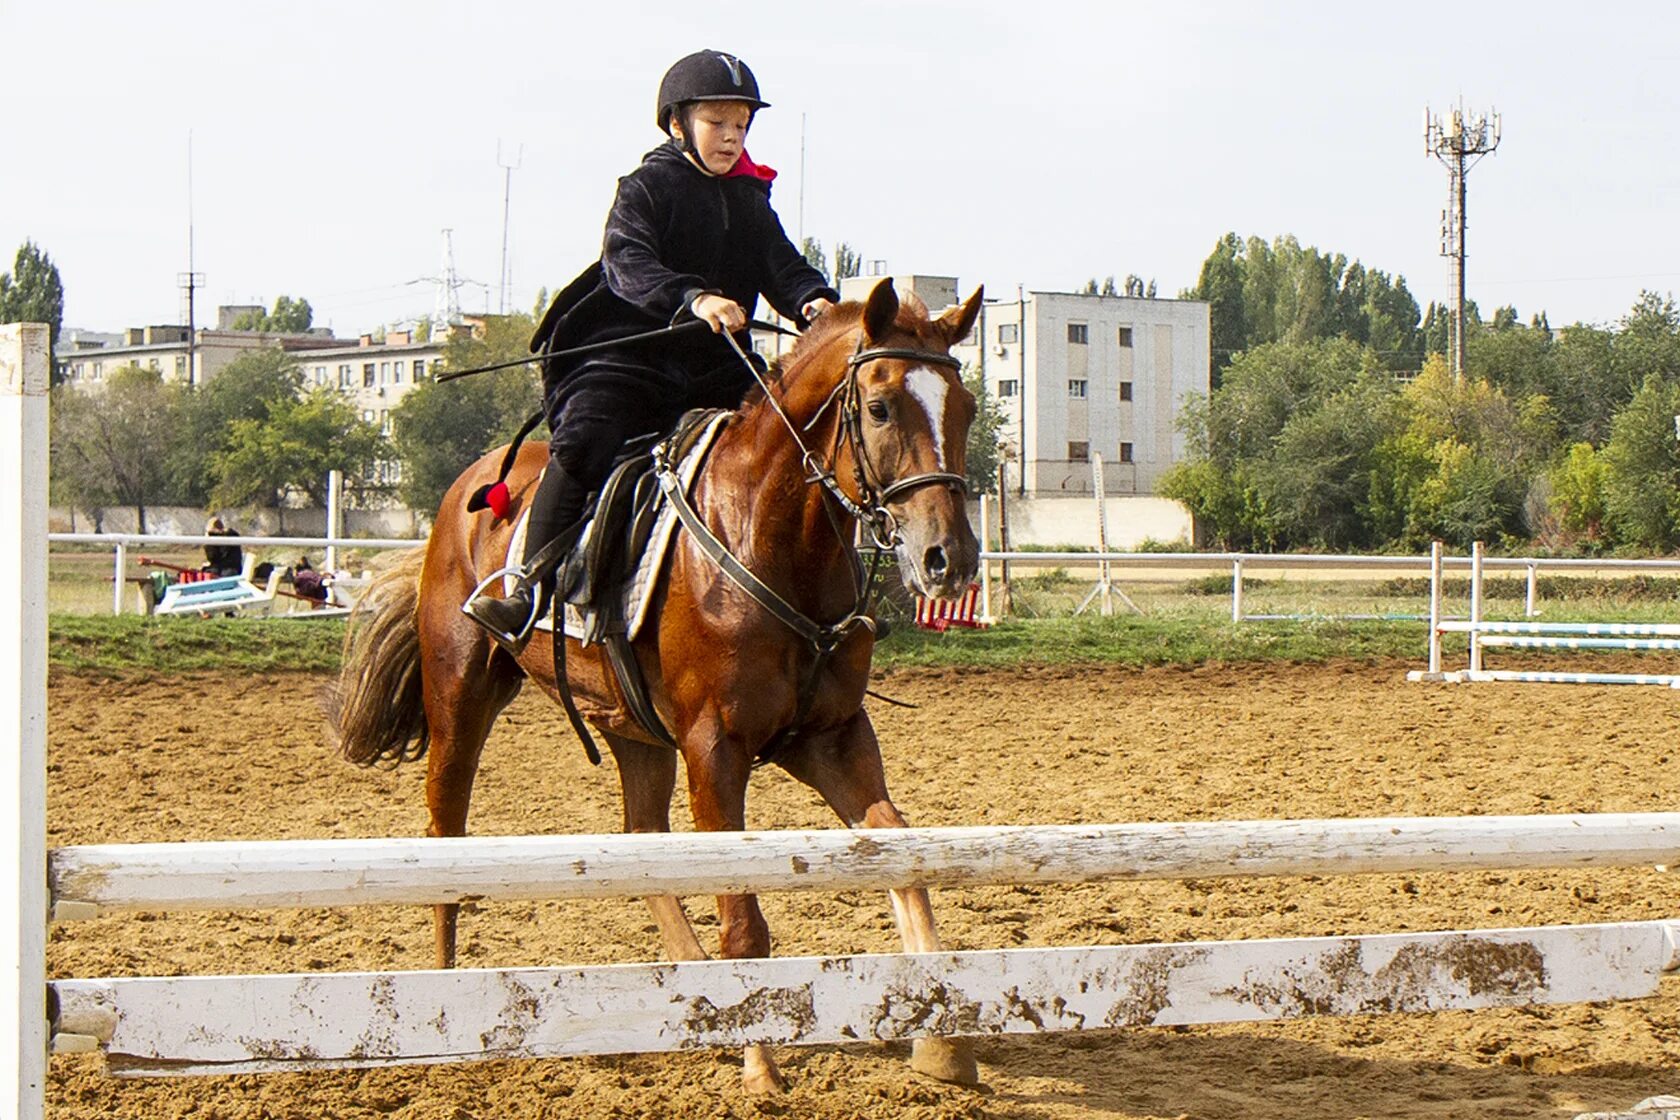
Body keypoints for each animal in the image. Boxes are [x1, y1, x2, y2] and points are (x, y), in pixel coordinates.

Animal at [327, 280, 981, 1094]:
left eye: (968, 409)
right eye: (882, 407)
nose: (949, 559)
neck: (768, 531)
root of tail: (465, 487)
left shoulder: (828, 738)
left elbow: (902, 853)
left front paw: (944, 1043)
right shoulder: (716, 749)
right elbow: (744, 920)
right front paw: (761, 1066)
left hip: (632, 727)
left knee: (642, 840)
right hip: (461, 698)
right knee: (447, 834)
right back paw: (442, 998)